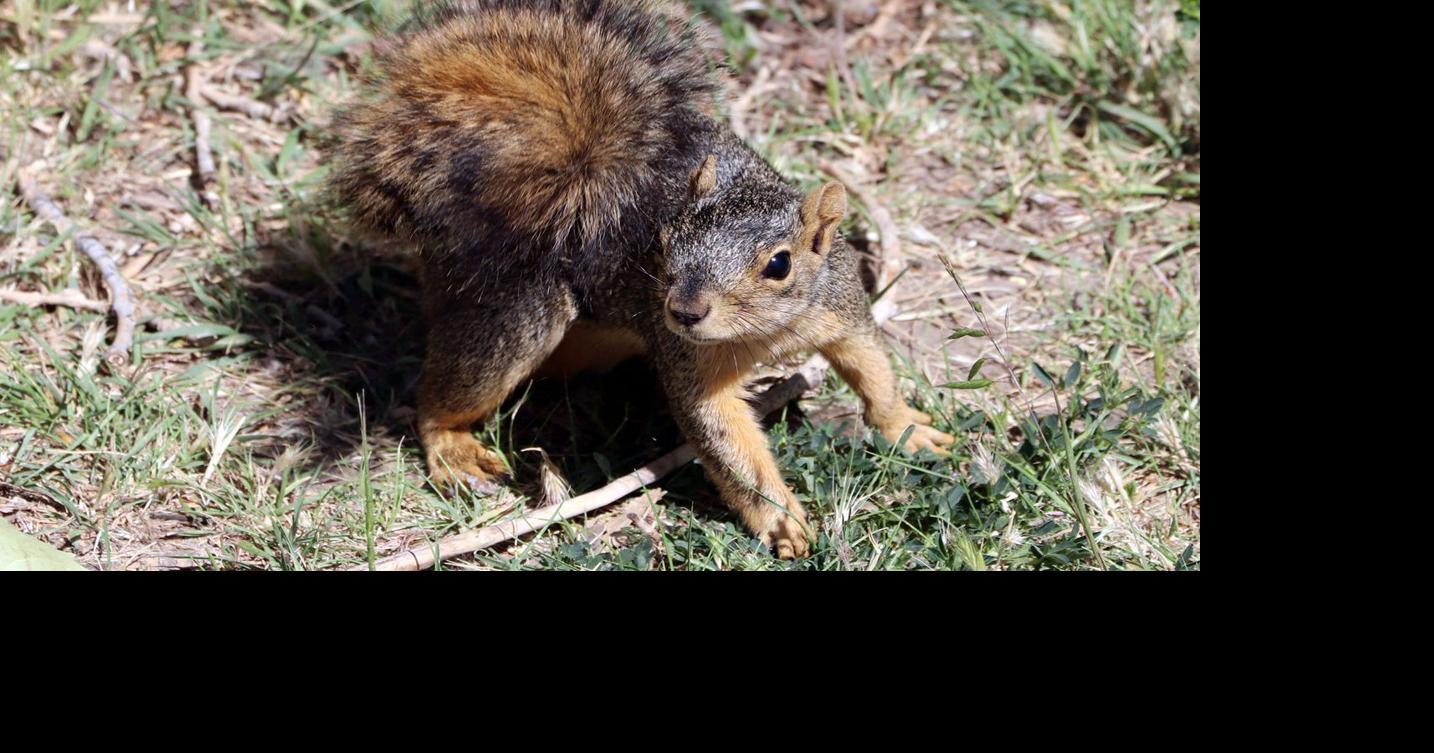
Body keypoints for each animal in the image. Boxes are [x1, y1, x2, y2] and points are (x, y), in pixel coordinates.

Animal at [327, 0, 954, 558]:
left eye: (780, 264)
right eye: (664, 242)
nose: (685, 312)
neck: (770, 333)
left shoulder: (841, 308)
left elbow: (872, 369)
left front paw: (908, 428)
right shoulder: (690, 362)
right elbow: (727, 442)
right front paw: (780, 519)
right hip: (515, 315)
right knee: (443, 396)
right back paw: (454, 447)